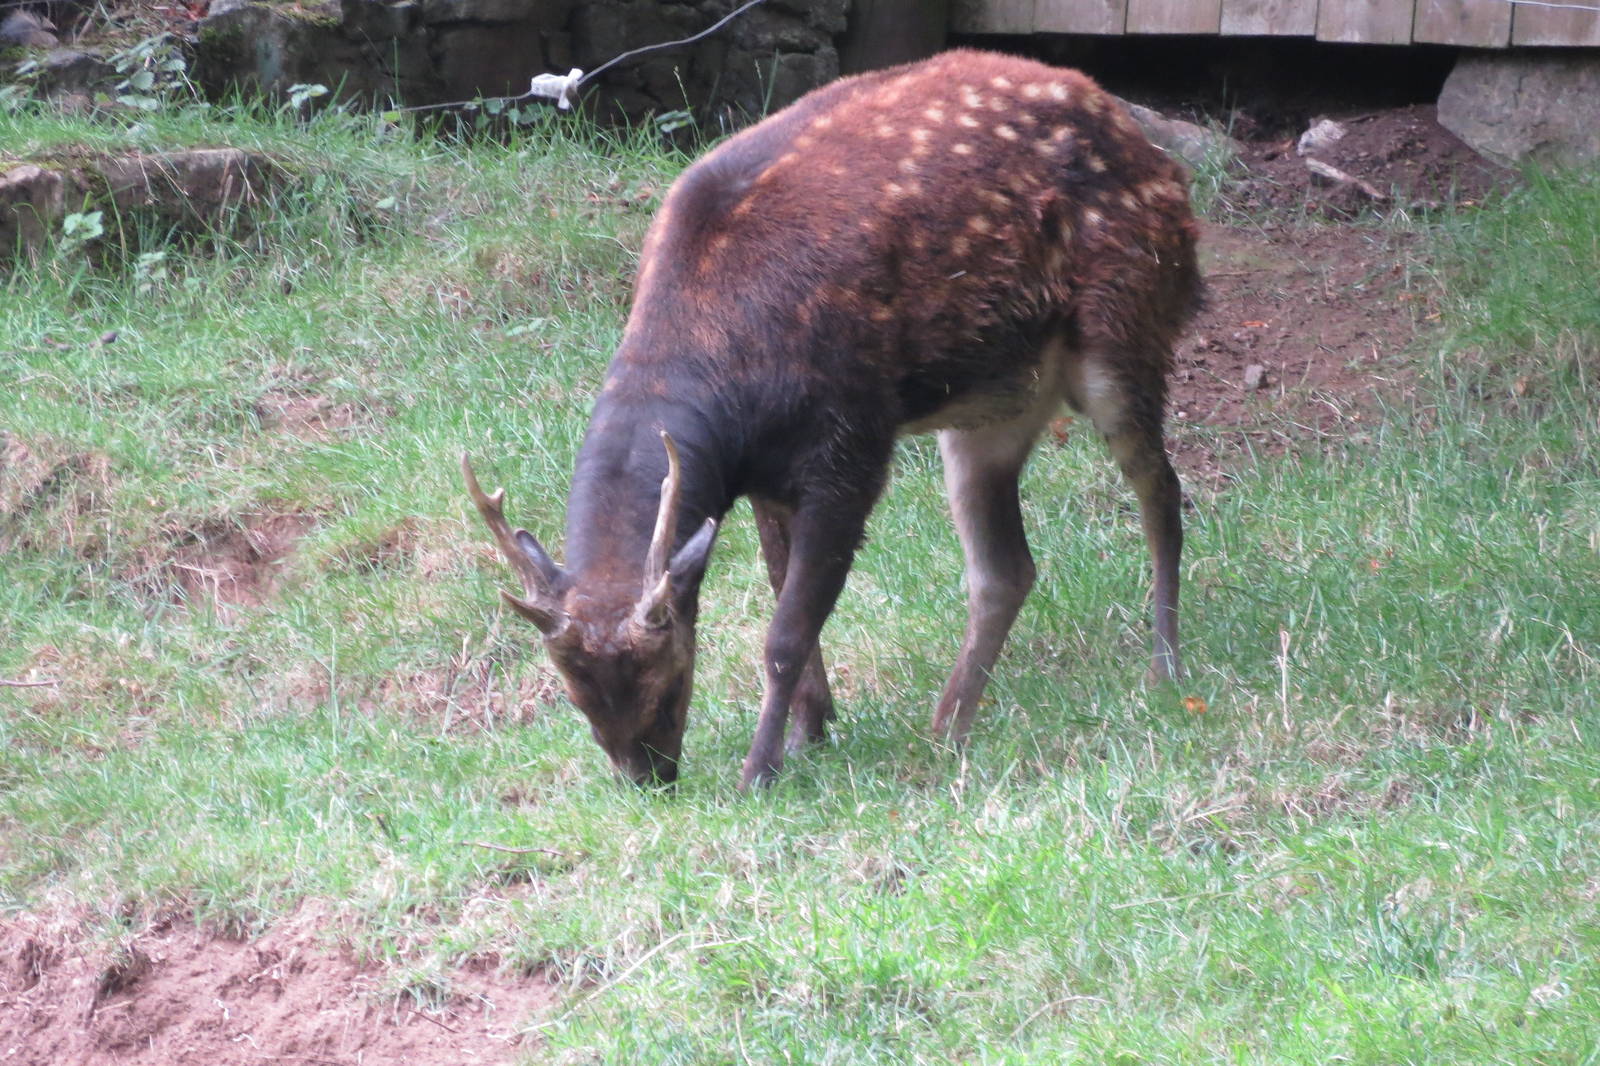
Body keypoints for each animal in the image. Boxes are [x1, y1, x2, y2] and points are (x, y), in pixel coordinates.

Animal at [464, 49, 1201, 789]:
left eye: (668, 679)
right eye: (574, 694)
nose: (648, 779)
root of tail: (1158, 158)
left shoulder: (851, 444)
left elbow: (787, 633)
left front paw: (759, 770)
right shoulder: (767, 478)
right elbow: (784, 594)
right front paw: (810, 732)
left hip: (1125, 325)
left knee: (1161, 491)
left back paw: (1164, 667)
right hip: (990, 405)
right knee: (1007, 569)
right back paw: (948, 727)